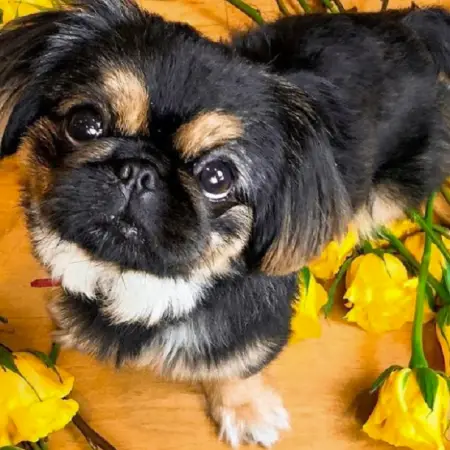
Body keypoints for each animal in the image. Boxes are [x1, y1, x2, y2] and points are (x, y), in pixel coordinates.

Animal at [0, 0, 450, 446]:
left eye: (217, 178)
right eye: (84, 123)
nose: (138, 171)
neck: (140, 286)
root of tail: (411, 26)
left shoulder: (250, 332)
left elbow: (235, 368)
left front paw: (246, 411)